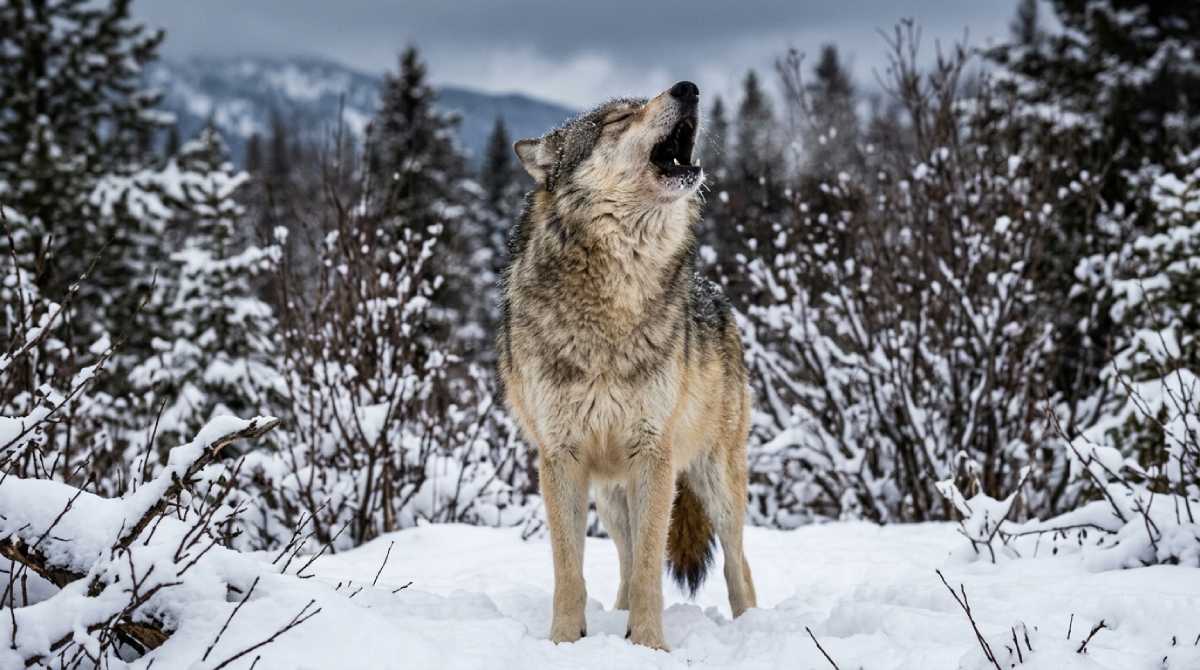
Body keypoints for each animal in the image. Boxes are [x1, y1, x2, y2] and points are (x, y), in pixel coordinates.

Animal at [497, 80, 756, 651]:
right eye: (618, 119)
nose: (688, 88)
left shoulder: (652, 453)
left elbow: (648, 573)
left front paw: (650, 646)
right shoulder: (561, 457)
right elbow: (570, 571)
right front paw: (564, 643)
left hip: (713, 480)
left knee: (736, 564)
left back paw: (753, 627)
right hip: (613, 495)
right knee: (624, 556)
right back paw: (617, 617)